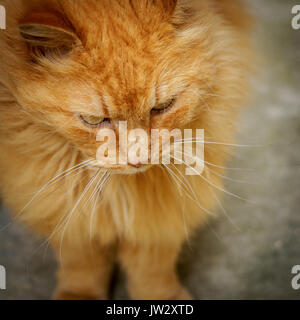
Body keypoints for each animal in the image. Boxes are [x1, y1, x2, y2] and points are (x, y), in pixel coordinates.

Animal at [0, 0, 252, 300]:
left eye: (162, 106)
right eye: (94, 120)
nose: (138, 159)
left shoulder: (160, 214)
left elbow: (152, 268)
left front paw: (163, 298)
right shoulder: (63, 204)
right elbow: (81, 263)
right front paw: (79, 294)